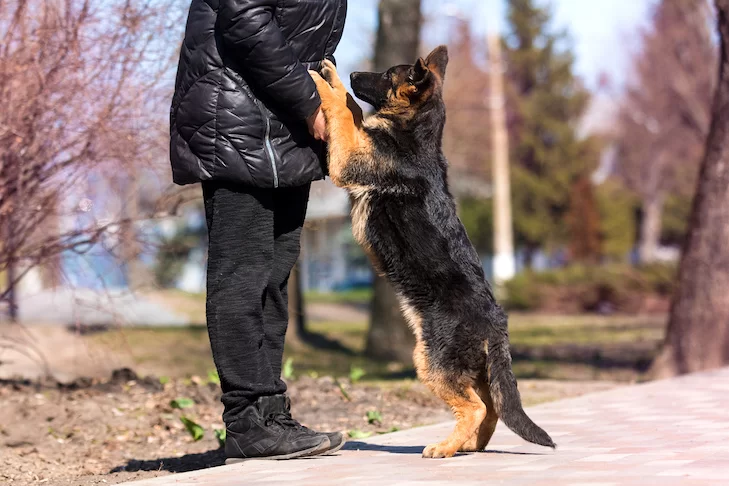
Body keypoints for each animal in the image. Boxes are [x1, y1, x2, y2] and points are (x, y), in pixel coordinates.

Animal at [308, 46, 552, 460]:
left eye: (387, 75)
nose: (353, 72)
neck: (415, 133)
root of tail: (497, 324)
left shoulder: (348, 159)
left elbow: (342, 110)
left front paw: (324, 80)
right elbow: (353, 112)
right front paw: (334, 80)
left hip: (431, 361)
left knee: (476, 407)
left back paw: (444, 447)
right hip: (467, 368)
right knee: (490, 408)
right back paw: (467, 446)